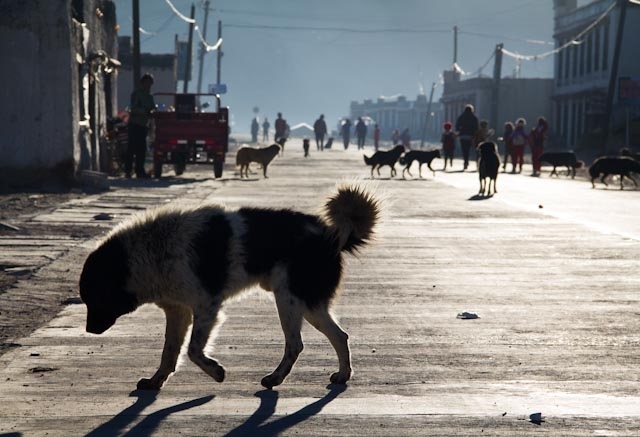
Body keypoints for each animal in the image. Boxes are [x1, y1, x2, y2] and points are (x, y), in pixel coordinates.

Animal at [80, 182, 380, 390]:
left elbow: (193, 350)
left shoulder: (207, 306)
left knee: (296, 344)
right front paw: (156, 382)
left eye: (93, 298)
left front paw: (216, 372)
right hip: (308, 304)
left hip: (289, 299)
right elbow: (170, 352)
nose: (88, 331)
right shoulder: (178, 311)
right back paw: (342, 375)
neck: (148, 252)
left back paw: (274, 378)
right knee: (340, 336)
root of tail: (330, 234)